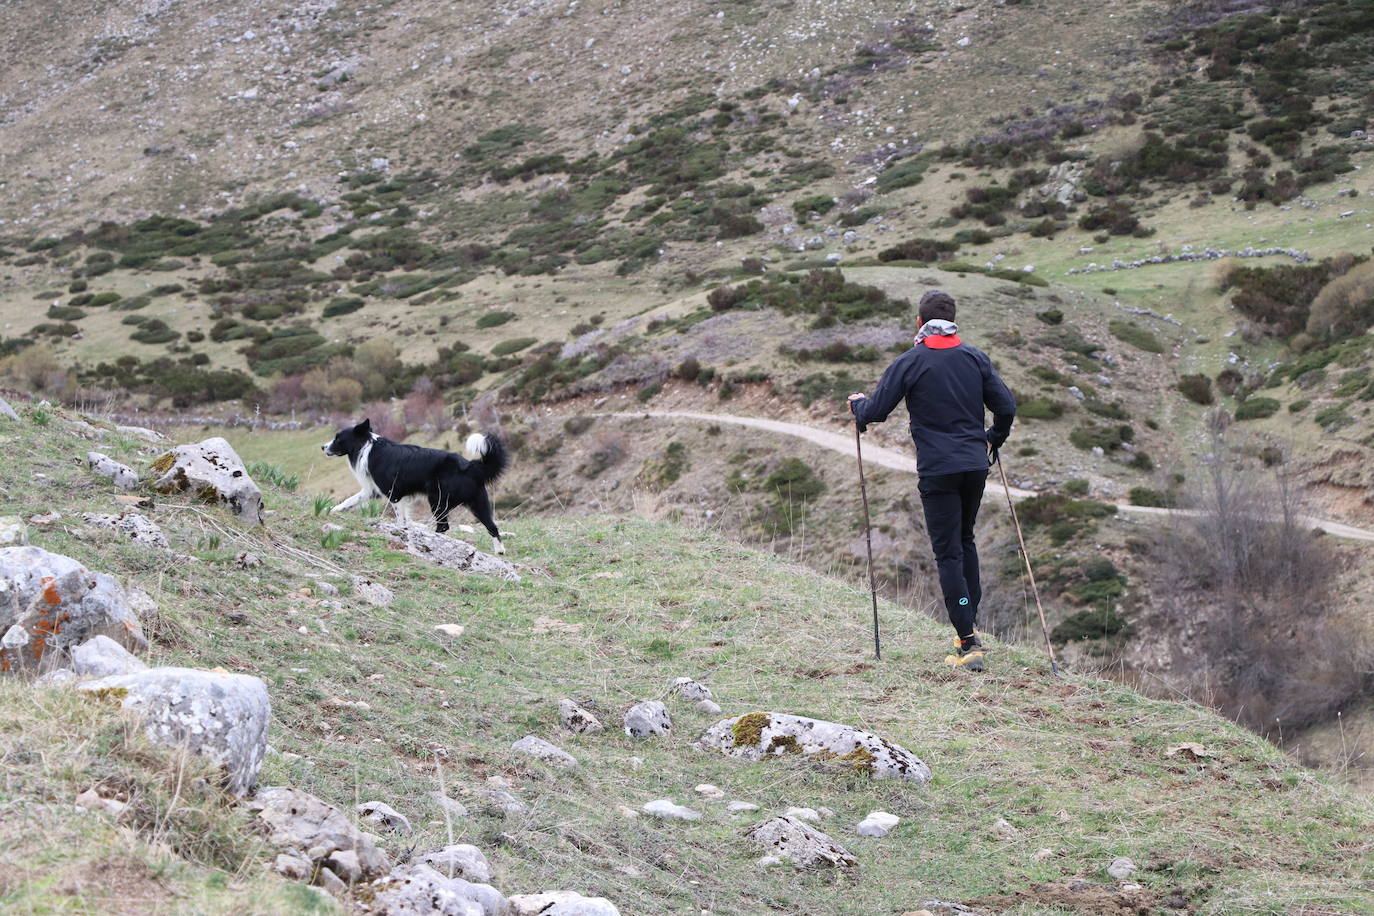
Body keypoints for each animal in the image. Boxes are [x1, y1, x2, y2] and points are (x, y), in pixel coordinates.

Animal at [321, 420, 511, 554]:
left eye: (338, 438)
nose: (322, 447)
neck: (367, 446)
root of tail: (469, 466)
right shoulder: (372, 491)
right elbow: (349, 501)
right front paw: (332, 510)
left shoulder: (393, 493)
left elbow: (400, 519)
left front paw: (400, 531)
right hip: (478, 503)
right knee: (492, 526)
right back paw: (500, 550)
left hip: (437, 499)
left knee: (443, 526)